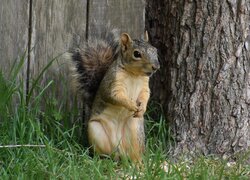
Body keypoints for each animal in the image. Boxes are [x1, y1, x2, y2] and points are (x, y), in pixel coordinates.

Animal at [67, 27, 159, 162]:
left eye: (155, 50)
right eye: (136, 54)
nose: (155, 67)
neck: (134, 75)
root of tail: (119, 146)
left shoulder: (144, 86)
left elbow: (145, 96)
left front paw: (142, 108)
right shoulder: (113, 83)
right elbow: (116, 96)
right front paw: (131, 105)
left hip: (135, 130)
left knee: (134, 153)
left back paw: (138, 163)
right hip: (96, 131)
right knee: (105, 153)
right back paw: (103, 160)